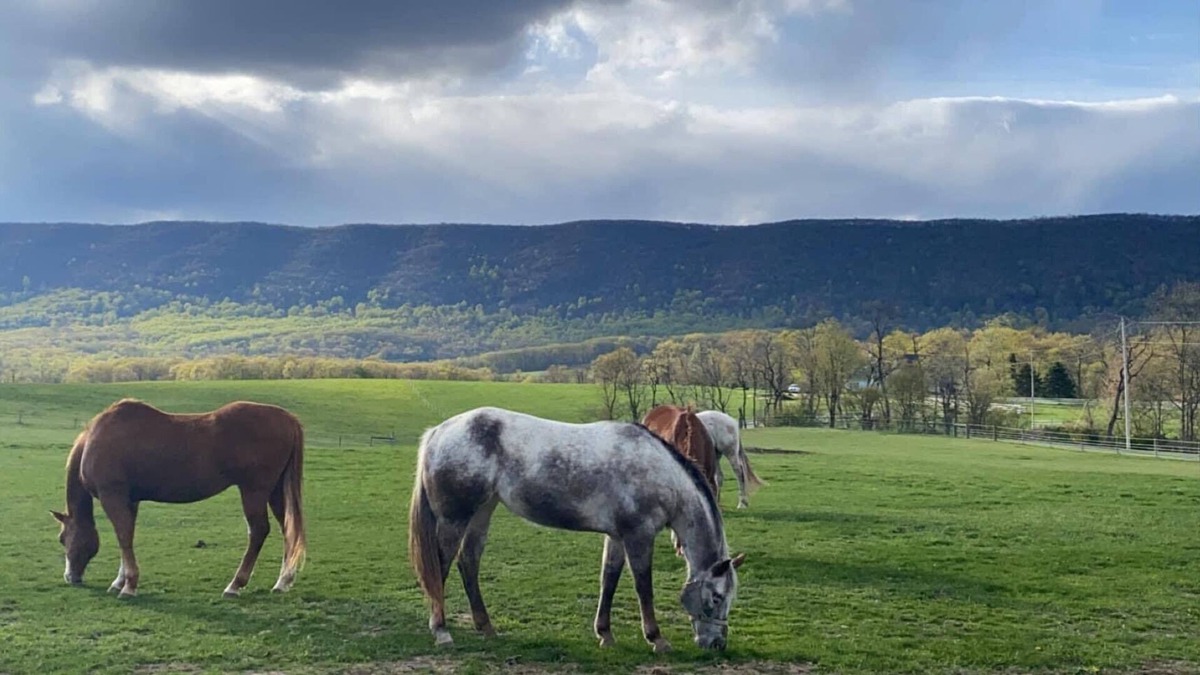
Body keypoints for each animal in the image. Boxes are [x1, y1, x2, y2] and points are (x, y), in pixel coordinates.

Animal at [52, 398, 307, 598]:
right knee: (287, 529)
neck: (97, 439)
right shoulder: (130, 500)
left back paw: (235, 585)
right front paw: (120, 581)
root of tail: (289, 419)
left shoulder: (112, 496)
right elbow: (127, 536)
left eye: (63, 539)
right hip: (274, 491)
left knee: (258, 531)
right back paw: (282, 582)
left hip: (254, 491)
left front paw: (129, 586)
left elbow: (123, 537)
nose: (70, 577)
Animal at [408, 406, 745, 653]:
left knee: (468, 563)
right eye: (717, 598)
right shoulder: (638, 536)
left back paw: (486, 627)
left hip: (482, 512)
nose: (717, 644)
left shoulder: (617, 537)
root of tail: (439, 432)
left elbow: (608, 580)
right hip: (454, 519)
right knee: (440, 567)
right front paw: (656, 638)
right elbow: (643, 586)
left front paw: (605, 634)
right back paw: (441, 631)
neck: (660, 474)